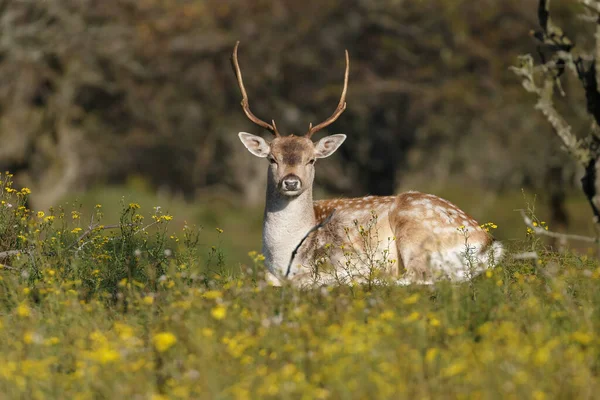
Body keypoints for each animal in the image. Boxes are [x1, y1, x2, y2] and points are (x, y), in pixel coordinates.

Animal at [232, 42, 504, 286]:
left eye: (311, 159)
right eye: (272, 158)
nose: (290, 182)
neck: (284, 258)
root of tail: (488, 243)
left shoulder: (343, 259)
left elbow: (306, 280)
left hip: (416, 235)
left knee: (420, 277)